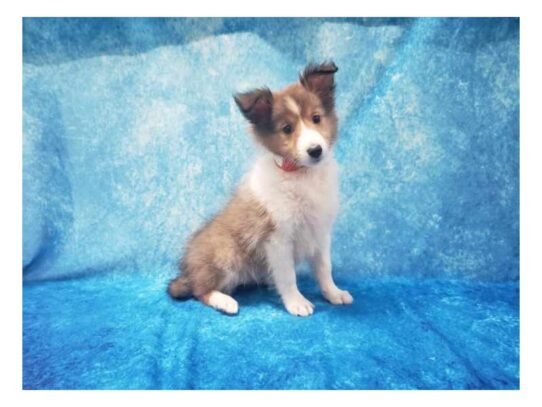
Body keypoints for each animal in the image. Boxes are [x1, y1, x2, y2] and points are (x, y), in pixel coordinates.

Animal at [171, 62, 356, 318]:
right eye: (287, 129)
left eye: (316, 118)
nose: (315, 150)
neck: (301, 175)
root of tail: (188, 270)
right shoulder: (276, 238)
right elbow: (288, 276)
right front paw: (297, 302)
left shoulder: (320, 232)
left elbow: (324, 268)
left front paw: (334, 293)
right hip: (225, 252)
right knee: (201, 290)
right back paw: (225, 301)